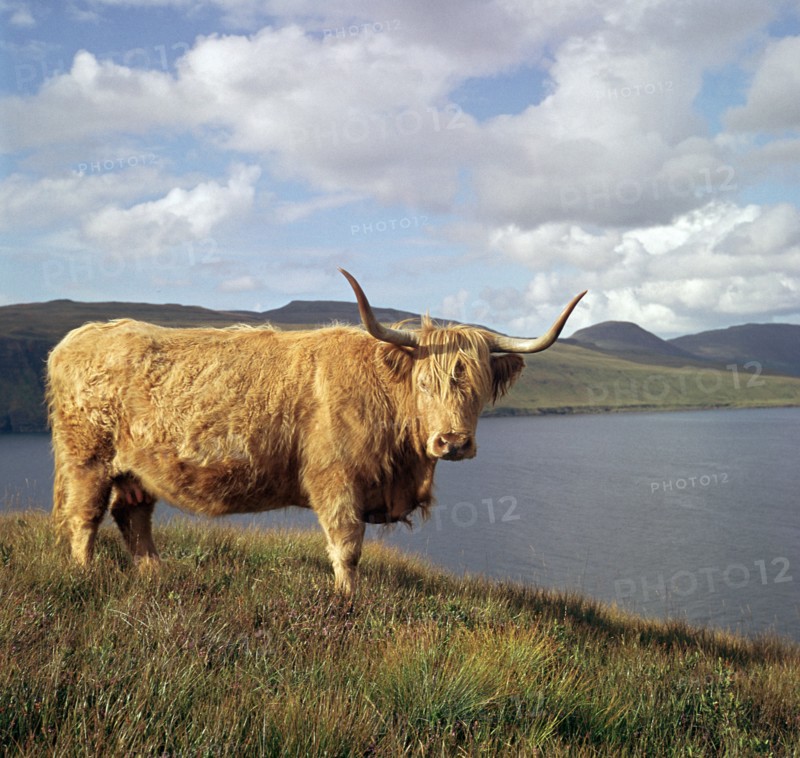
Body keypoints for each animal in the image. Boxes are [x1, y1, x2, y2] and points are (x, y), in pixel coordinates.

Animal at [47, 269, 586, 595]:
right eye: (424, 383)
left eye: (476, 386)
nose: (452, 442)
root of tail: (80, 335)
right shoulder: (335, 481)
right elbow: (347, 547)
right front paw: (347, 601)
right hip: (88, 459)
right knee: (84, 517)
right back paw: (84, 576)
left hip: (135, 470)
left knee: (132, 516)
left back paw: (156, 574)